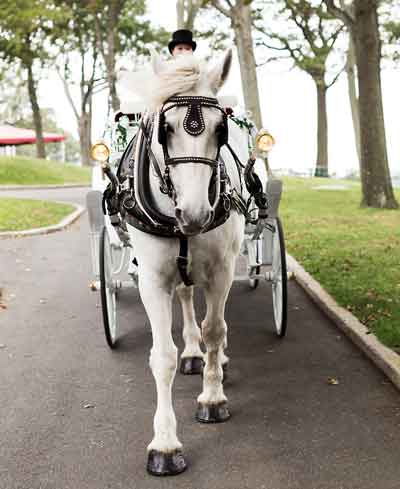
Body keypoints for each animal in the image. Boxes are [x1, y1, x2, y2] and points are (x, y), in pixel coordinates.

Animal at [125, 51, 255, 474]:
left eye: (221, 128)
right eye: (164, 129)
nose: (196, 214)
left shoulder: (222, 271)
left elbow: (215, 330)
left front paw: (212, 398)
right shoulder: (152, 279)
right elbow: (162, 356)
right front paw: (165, 444)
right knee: (184, 297)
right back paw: (193, 353)